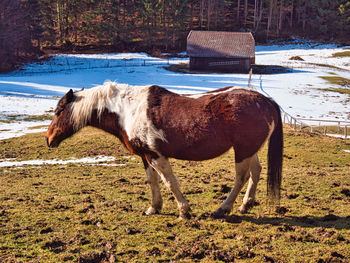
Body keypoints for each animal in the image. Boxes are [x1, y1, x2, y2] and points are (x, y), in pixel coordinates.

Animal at [45, 81, 282, 220]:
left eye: (59, 111)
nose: (48, 139)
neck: (127, 111)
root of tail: (266, 101)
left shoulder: (157, 156)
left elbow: (169, 182)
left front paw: (183, 210)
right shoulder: (146, 156)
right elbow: (153, 181)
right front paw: (154, 208)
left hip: (242, 150)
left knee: (241, 177)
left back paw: (223, 209)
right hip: (248, 149)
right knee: (256, 172)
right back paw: (245, 206)